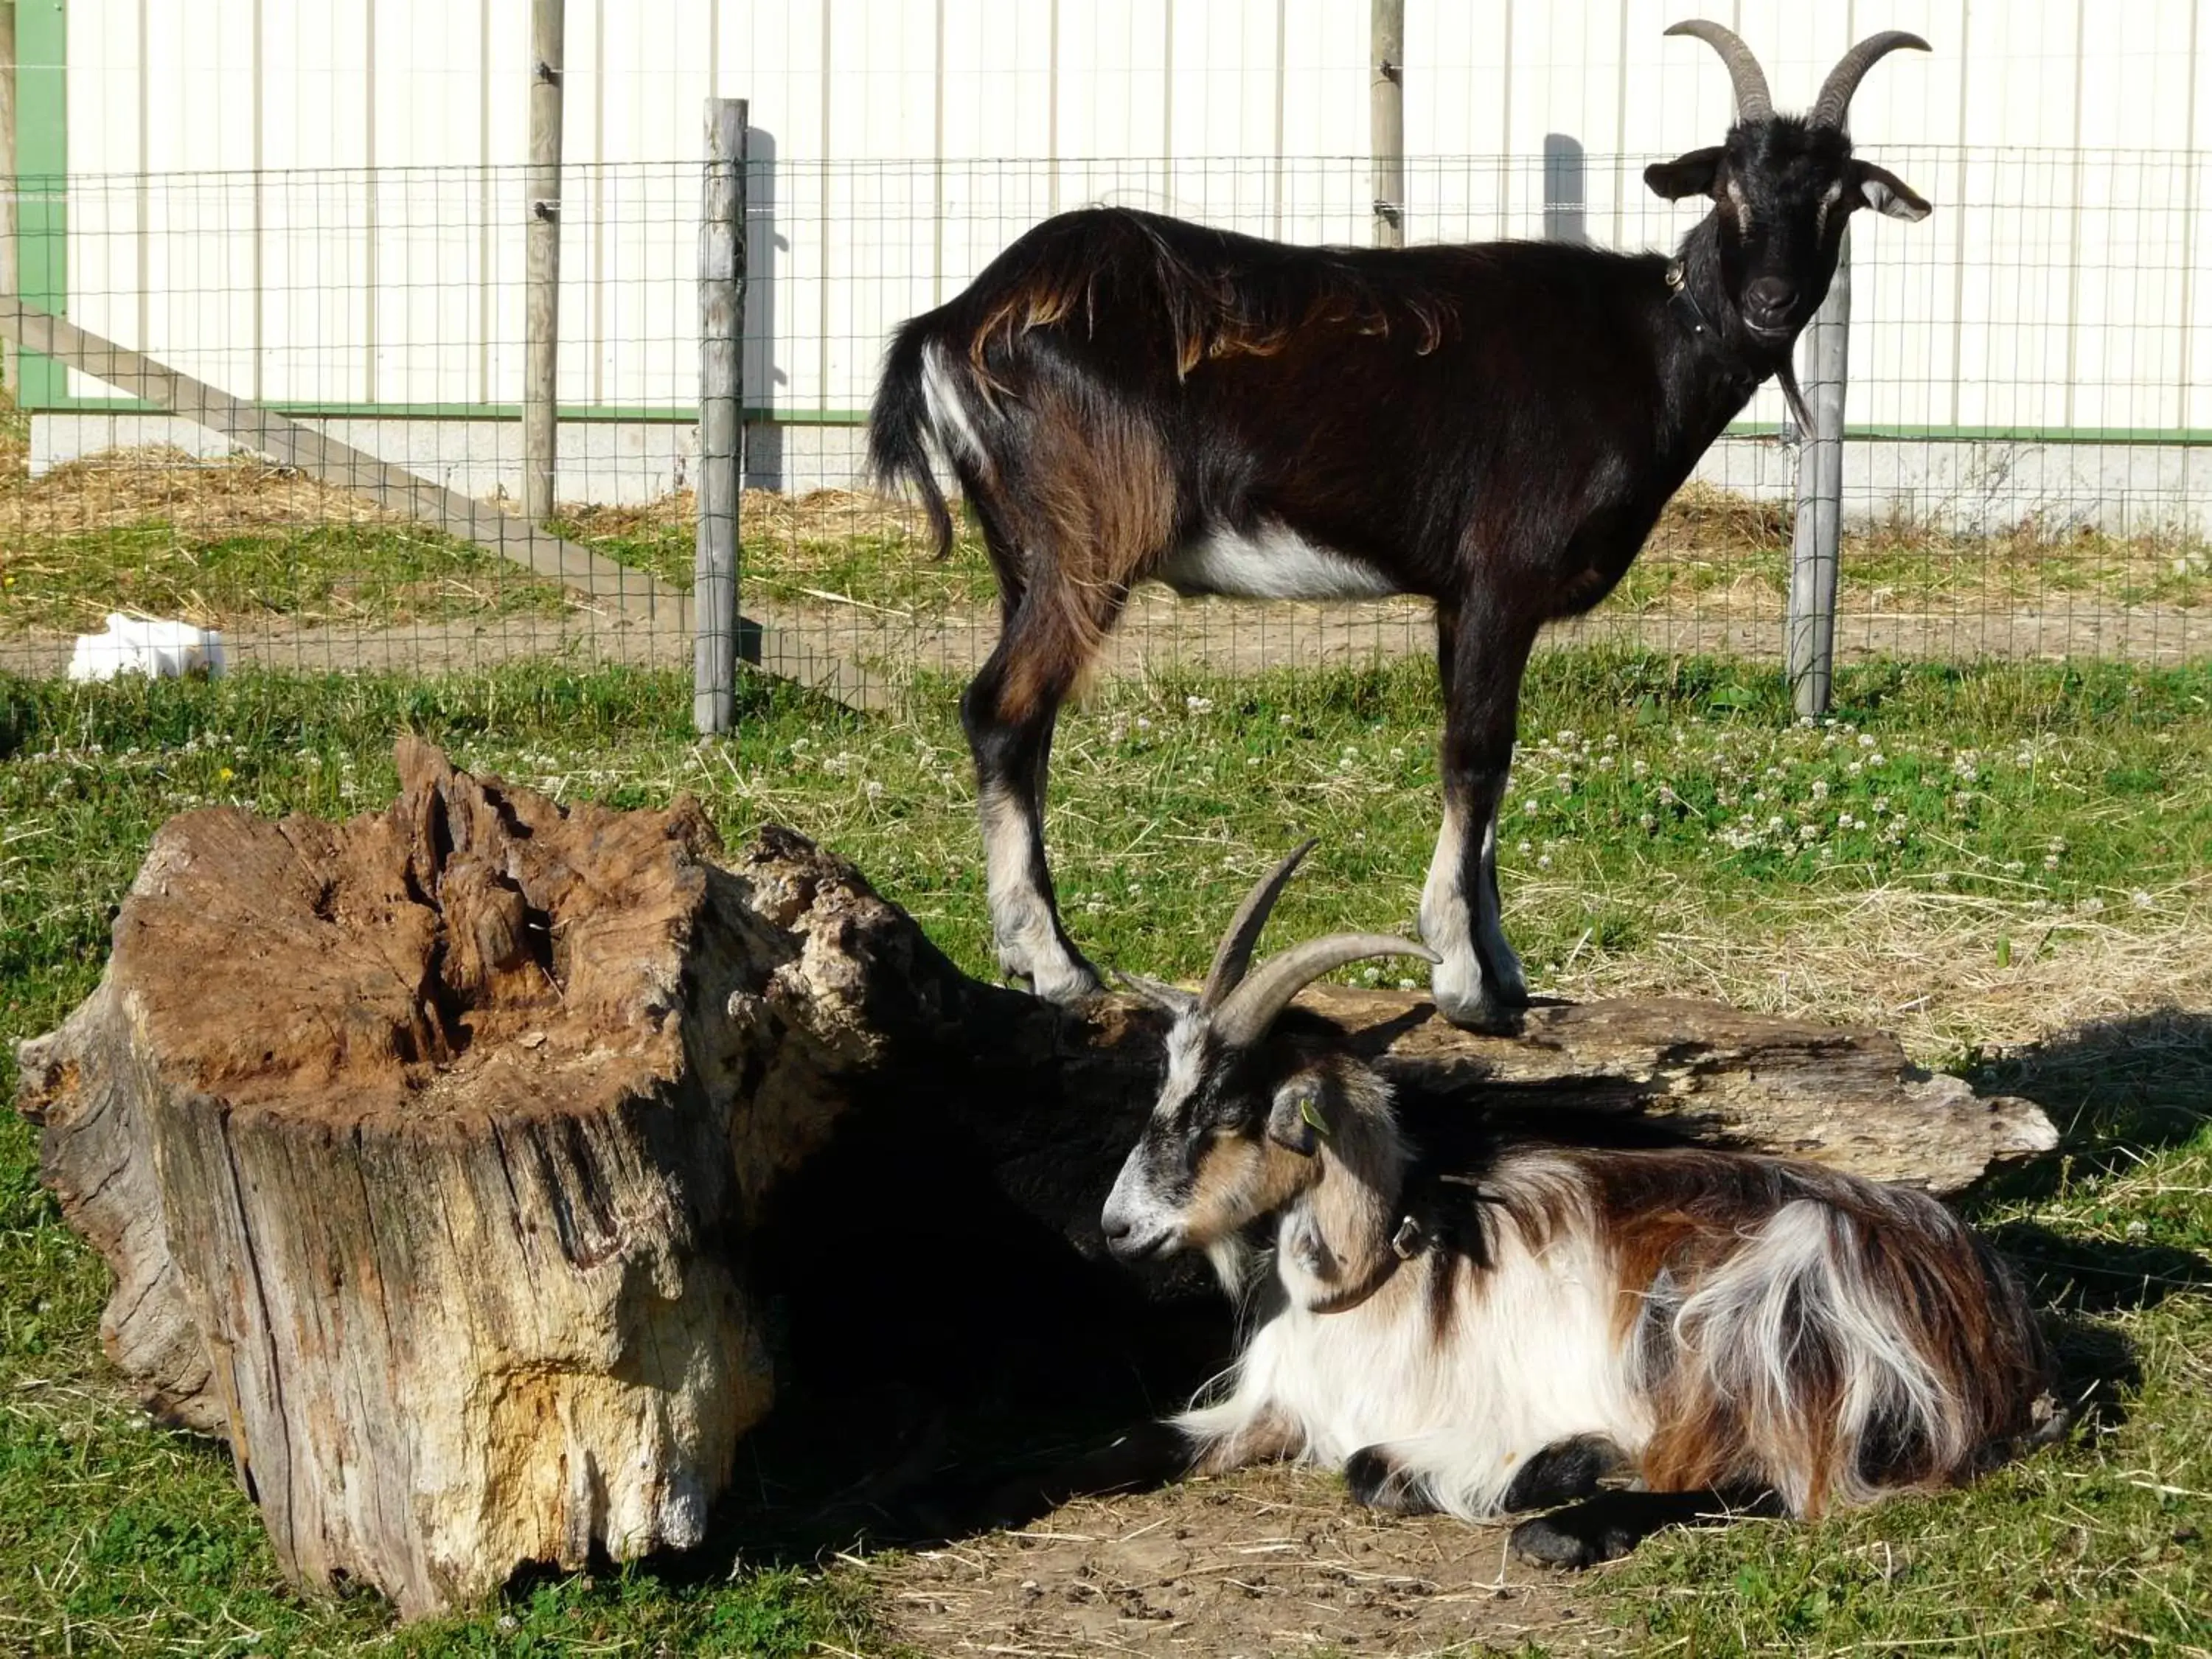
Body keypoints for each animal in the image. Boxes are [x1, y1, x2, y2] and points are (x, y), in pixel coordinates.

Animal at [1088, 849, 2053, 1566]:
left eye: (1230, 1112)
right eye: (1163, 1095)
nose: (1117, 1229)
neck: (1382, 1270)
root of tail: (1991, 1324)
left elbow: (1368, 1469)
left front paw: (1531, 1475)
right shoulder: (1270, 1409)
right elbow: (1128, 1445)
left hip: (1762, 1290)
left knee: (1783, 1479)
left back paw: (1566, 1525)